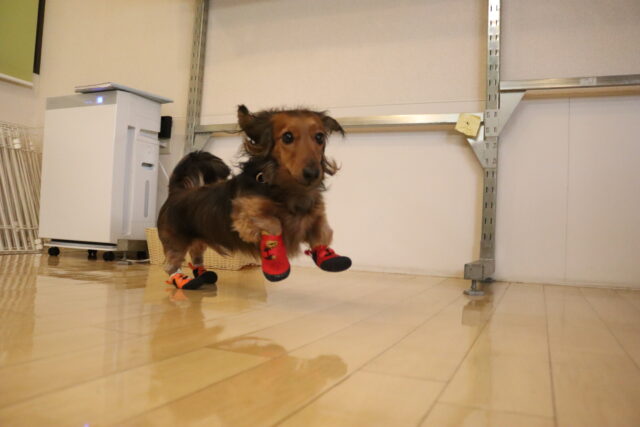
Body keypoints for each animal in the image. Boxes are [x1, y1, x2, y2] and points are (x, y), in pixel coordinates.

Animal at [156, 105, 352, 289]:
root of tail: (176, 191)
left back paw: (204, 275)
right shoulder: (246, 216)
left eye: (319, 137)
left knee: (196, 257)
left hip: (199, 240)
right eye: (287, 137)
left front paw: (327, 255)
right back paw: (183, 281)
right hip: (176, 243)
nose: (312, 173)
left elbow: (322, 230)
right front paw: (275, 261)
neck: (288, 189)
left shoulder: (315, 213)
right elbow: (274, 225)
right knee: (171, 266)